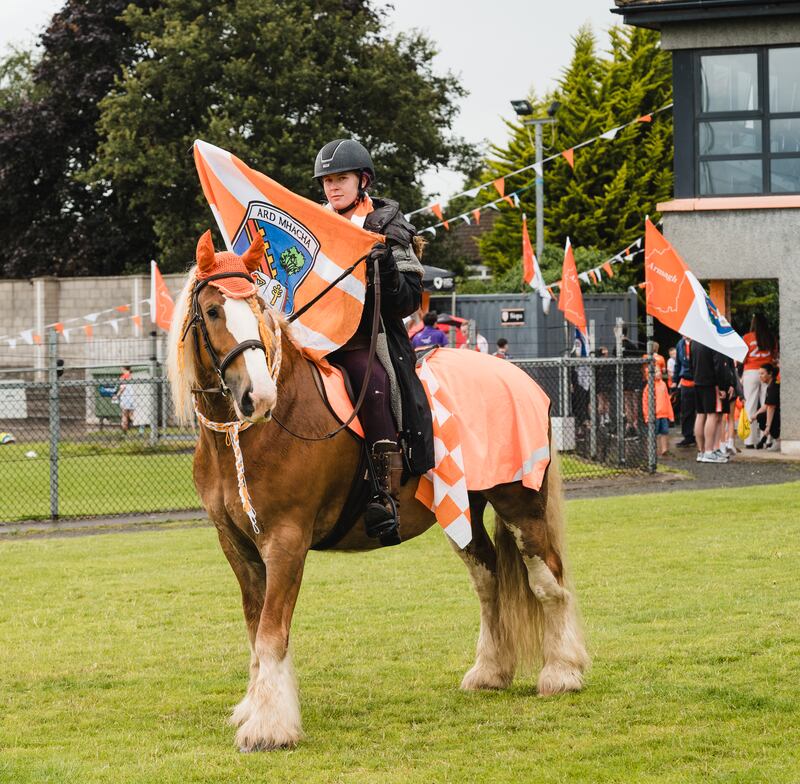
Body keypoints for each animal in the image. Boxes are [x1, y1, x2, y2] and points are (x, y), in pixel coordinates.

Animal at [167, 236, 588, 752]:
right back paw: (490, 671)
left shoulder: (286, 542)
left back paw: (562, 672)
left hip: (520, 505)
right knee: (489, 581)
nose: (257, 397)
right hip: (463, 512)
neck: (257, 433)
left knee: (549, 580)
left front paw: (269, 727)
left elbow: (270, 632)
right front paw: (255, 707)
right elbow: (256, 629)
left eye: (259, 308)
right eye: (212, 311)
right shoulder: (238, 546)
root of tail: (518, 379)